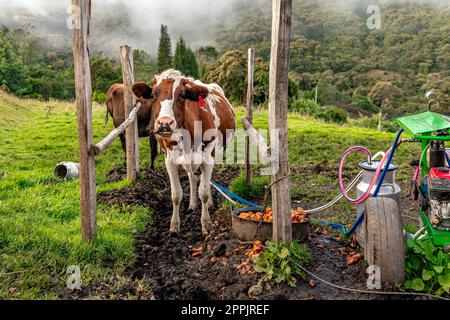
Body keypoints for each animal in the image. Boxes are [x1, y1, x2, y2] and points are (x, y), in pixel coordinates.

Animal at [133, 70, 236, 234]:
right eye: (153, 94)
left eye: (182, 95)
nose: (164, 123)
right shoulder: (169, 161)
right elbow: (176, 194)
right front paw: (174, 225)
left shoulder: (208, 158)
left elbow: (204, 192)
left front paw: (206, 223)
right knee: (192, 177)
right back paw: (193, 204)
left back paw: (209, 203)